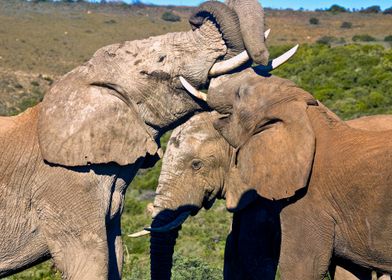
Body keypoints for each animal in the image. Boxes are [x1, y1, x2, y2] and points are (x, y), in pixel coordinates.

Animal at [0, 0, 278, 278]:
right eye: (161, 59)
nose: (195, 17)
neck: (83, 81)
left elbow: (116, 256)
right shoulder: (64, 186)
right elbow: (89, 263)